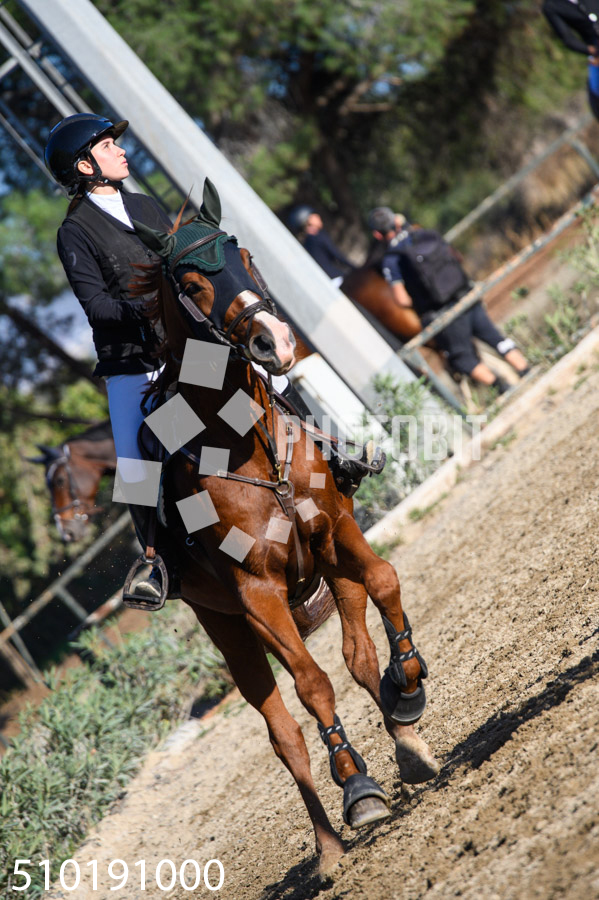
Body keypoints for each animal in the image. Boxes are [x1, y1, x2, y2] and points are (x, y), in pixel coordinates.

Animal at [128, 178, 439, 878]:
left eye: (243, 253)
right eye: (192, 280)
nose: (276, 343)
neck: (245, 444)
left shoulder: (335, 532)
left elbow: (384, 580)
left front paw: (407, 688)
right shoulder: (258, 596)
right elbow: (312, 685)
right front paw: (357, 787)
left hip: (326, 574)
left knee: (357, 655)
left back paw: (408, 743)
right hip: (230, 632)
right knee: (284, 732)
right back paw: (329, 845)